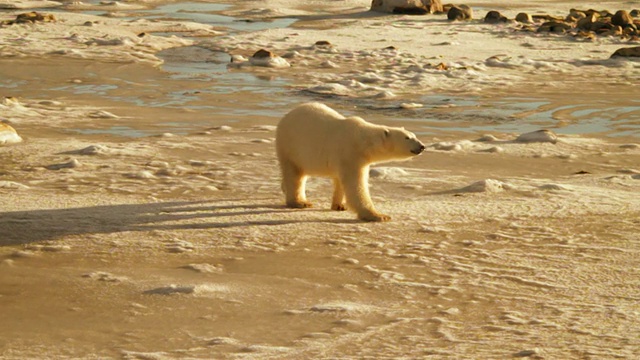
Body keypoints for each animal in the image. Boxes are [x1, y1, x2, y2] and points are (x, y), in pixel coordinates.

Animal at [276, 102, 424, 222]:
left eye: (414, 136)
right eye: (407, 138)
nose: (422, 146)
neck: (363, 141)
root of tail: (287, 116)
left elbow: (342, 181)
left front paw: (340, 205)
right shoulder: (350, 154)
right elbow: (355, 185)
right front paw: (378, 216)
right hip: (290, 146)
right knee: (295, 175)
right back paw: (300, 202)